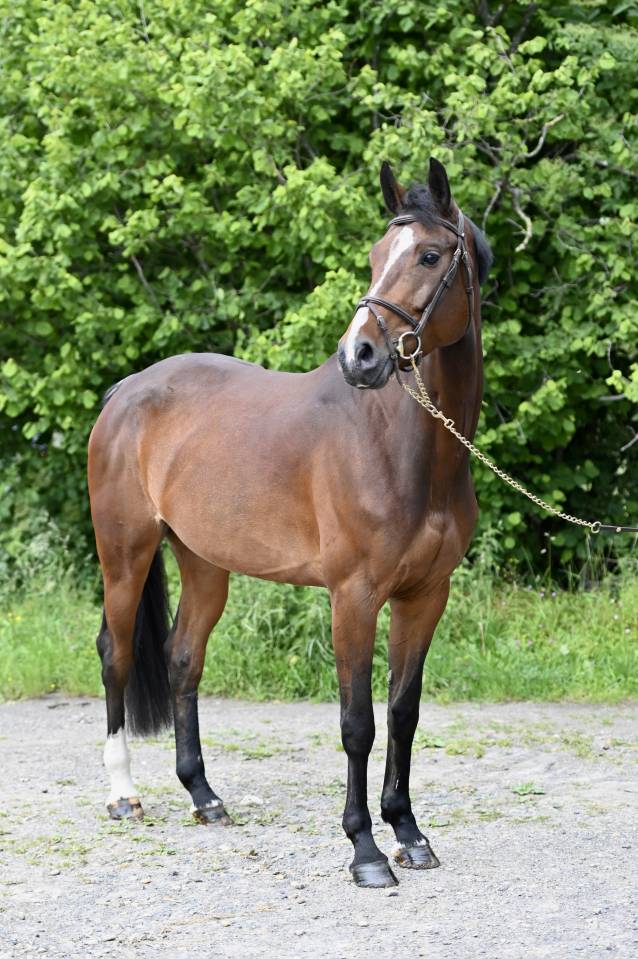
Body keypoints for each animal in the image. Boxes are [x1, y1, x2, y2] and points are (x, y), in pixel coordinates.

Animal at [88, 157, 492, 888]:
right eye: (375, 255)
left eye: (428, 254)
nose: (360, 356)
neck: (403, 449)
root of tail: (126, 391)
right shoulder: (353, 597)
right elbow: (358, 723)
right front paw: (365, 851)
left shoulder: (425, 596)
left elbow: (404, 713)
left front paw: (409, 833)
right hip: (124, 553)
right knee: (118, 655)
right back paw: (124, 795)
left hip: (204, 563)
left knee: (183, 657)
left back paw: (204, 796)